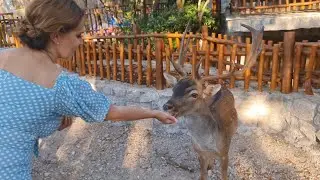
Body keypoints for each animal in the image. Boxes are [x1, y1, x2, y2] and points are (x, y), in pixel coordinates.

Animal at [161, 22, 264, 180]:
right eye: (173, 89)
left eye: (194, 94)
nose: (167, 106)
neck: (207, 143)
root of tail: (224, 88)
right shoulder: (199, 153)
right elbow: (202, 175)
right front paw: (207, 169)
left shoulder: (224, 152)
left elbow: (224, 175)